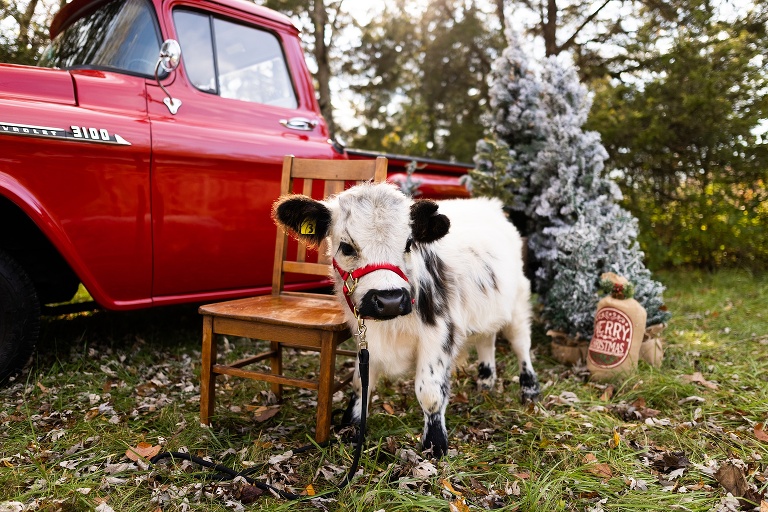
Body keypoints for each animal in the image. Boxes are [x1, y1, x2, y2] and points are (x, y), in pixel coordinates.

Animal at [272, 182, 539, 457]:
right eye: (346, 247)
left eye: (409, 243)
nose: (389, 299)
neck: (389, 328)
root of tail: (490, 205)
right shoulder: (364, 336)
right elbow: (360, 381)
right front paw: (352, 425)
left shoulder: (439, 334)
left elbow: (429, 391)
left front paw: (435, 443)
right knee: (487, 339)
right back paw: (485, 382)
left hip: (519, 303)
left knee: (521, 345)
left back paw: (529, 389)